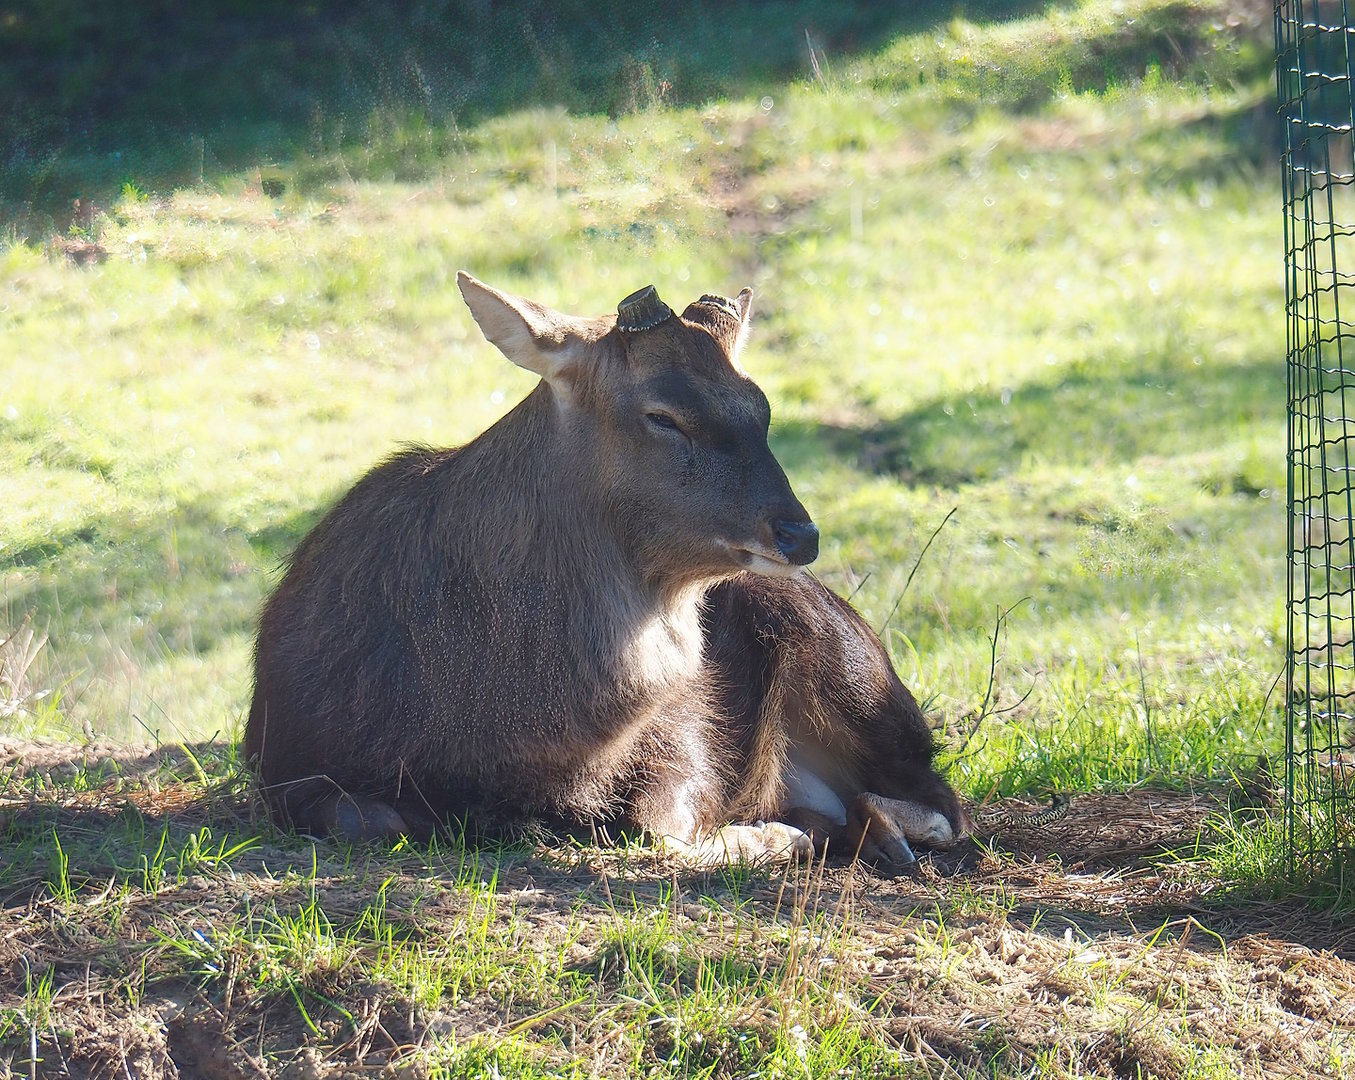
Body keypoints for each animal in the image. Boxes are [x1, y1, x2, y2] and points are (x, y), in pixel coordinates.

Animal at [245, 275, 966, 870]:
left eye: (761, 406)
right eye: (661, 415)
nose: (798, 532)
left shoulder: (682, 733)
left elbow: (661, 833)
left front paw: (771, 836)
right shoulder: (286, 761)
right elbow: (362, 820)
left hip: (855, 677)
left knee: (938, 804)